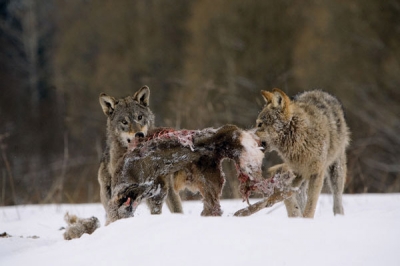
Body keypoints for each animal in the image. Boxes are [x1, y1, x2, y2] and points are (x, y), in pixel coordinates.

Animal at [255, 88, 348, 217]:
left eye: (260, 124)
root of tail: (319, 91)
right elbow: (291, 200)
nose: (249, 137)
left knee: (338, 201)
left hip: (336, 170)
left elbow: (310, 206)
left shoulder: (316, 173)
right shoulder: (296, 174)